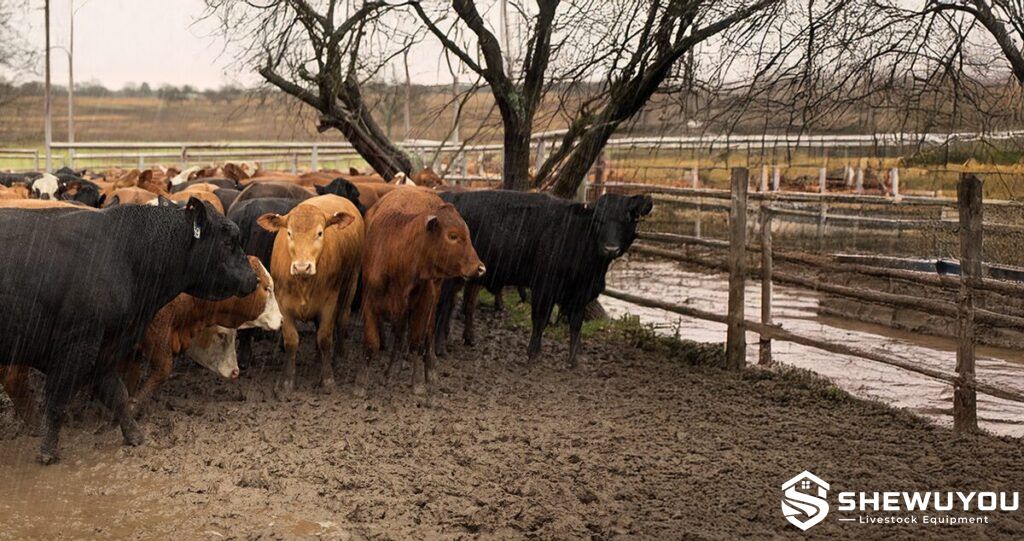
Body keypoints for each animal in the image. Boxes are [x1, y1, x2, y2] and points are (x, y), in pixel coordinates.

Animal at [0, 198, 258, 464]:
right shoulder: (77, 347)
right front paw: (47, 451)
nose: (254, 278)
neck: (124, 253)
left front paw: (134, 435)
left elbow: (118, 395)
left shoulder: (106, 351)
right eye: (228, 242)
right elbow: (57, 402)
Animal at [119, 257, 281, 414]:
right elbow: (162, 369)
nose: (281, 319)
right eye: (267, 288)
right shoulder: (156, 332)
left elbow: (130, 378)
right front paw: (132, 407)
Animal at [258, 194, 364, 395]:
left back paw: (338, 357)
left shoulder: (329, 302)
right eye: (289, 233)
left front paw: (327, 379)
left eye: (320, 233)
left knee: (342, 319)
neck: (303, 282)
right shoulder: (283, 305)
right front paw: (287, 382)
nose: (302, 266)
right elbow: (291, 340)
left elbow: (325, 337)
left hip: (351, 283)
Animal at [358, 188, 485, 397]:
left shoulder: (424, 302)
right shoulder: (369, 301)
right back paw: (391, 371)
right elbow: (371, 343)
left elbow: (416, 342)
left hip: (433, 297)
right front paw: (361, 384)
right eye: (452, 236)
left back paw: (430, 370)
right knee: (399, 334)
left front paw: (417, 383)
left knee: (428, 333)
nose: (480, 268)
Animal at [434, 191, 652, 367]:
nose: (610, 248)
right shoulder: (544, 286)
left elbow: (576, 324)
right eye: (598, 220)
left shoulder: (581, 294)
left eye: (628, 220)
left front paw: (574, 360)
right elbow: (540, 319)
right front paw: (533, 354)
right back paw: (440, 348)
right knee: (444, 308)